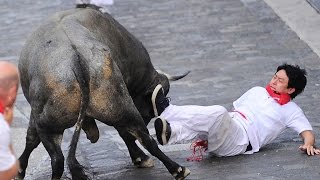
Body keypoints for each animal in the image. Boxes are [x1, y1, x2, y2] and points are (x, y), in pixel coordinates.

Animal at [17, 4, 190, 180]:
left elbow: (31, 139)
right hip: (121, 108)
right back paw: (177, 169)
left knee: (57, 159)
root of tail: (77, 58)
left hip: (49, 125)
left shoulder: (35, 115)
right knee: (145, 138)